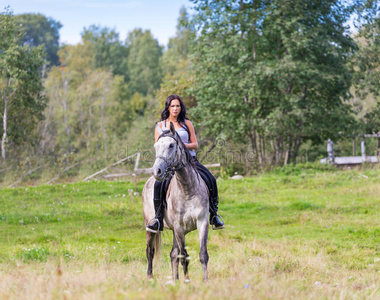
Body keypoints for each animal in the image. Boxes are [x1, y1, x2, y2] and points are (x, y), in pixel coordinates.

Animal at [142, 121, 209, 282]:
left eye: (171, 145)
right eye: (156, 146)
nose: (157, 171)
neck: (187, 189)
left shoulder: (202, 222)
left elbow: (202, 254)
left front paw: (205, 280)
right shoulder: (179, 228)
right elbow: (184, 256)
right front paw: (187, 281)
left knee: (173, 254)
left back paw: (175, 279)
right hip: (150, 227)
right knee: (150, 251)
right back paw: (150, 277)